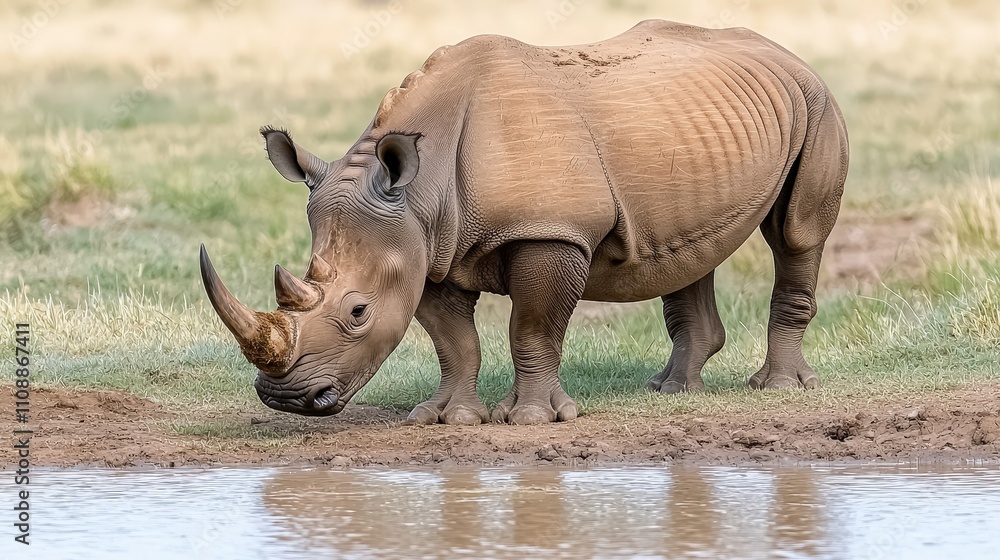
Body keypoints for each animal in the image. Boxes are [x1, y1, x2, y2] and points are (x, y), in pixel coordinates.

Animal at [200, 20, 849, 425]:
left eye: (357, 312)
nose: (286, 399)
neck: (421, 188)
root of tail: (786, 51)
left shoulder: (548, 231)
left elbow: (534, 327)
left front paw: (532, 417)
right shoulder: (427, 249)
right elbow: (454, 340)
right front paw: (446, 418)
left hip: (816, 101)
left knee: (797, 233)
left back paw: (780, 388)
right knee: (691, 246)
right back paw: (672, 390)